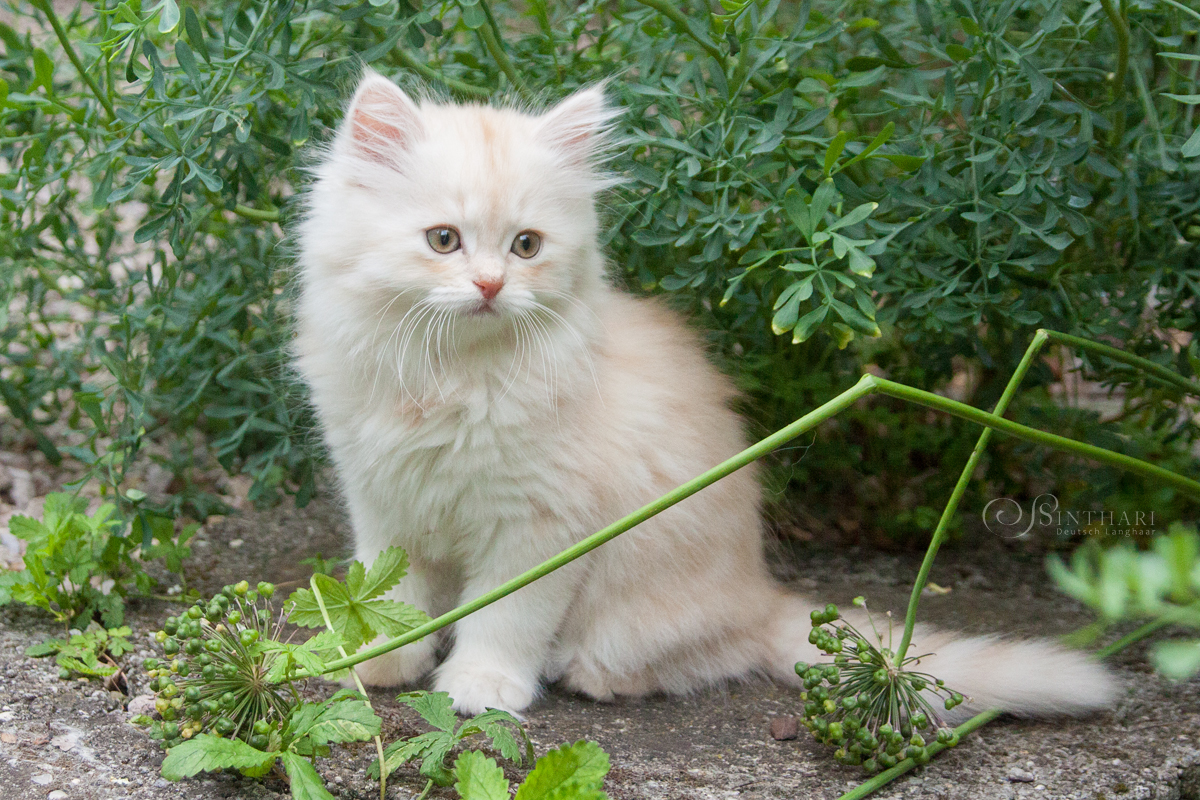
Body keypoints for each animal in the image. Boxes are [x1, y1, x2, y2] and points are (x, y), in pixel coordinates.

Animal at [295, 70, 1118, 719]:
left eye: (526, 246)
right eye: (444, 240)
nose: (493, 286)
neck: (452, 375)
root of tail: (759, 592)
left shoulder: (542, 522)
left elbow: (507, 614)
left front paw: (480, 686)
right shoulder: (385, 501)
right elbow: (390, 594)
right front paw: (379, 659)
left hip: (643, 615)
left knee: (696, 659)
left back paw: (586, 672)